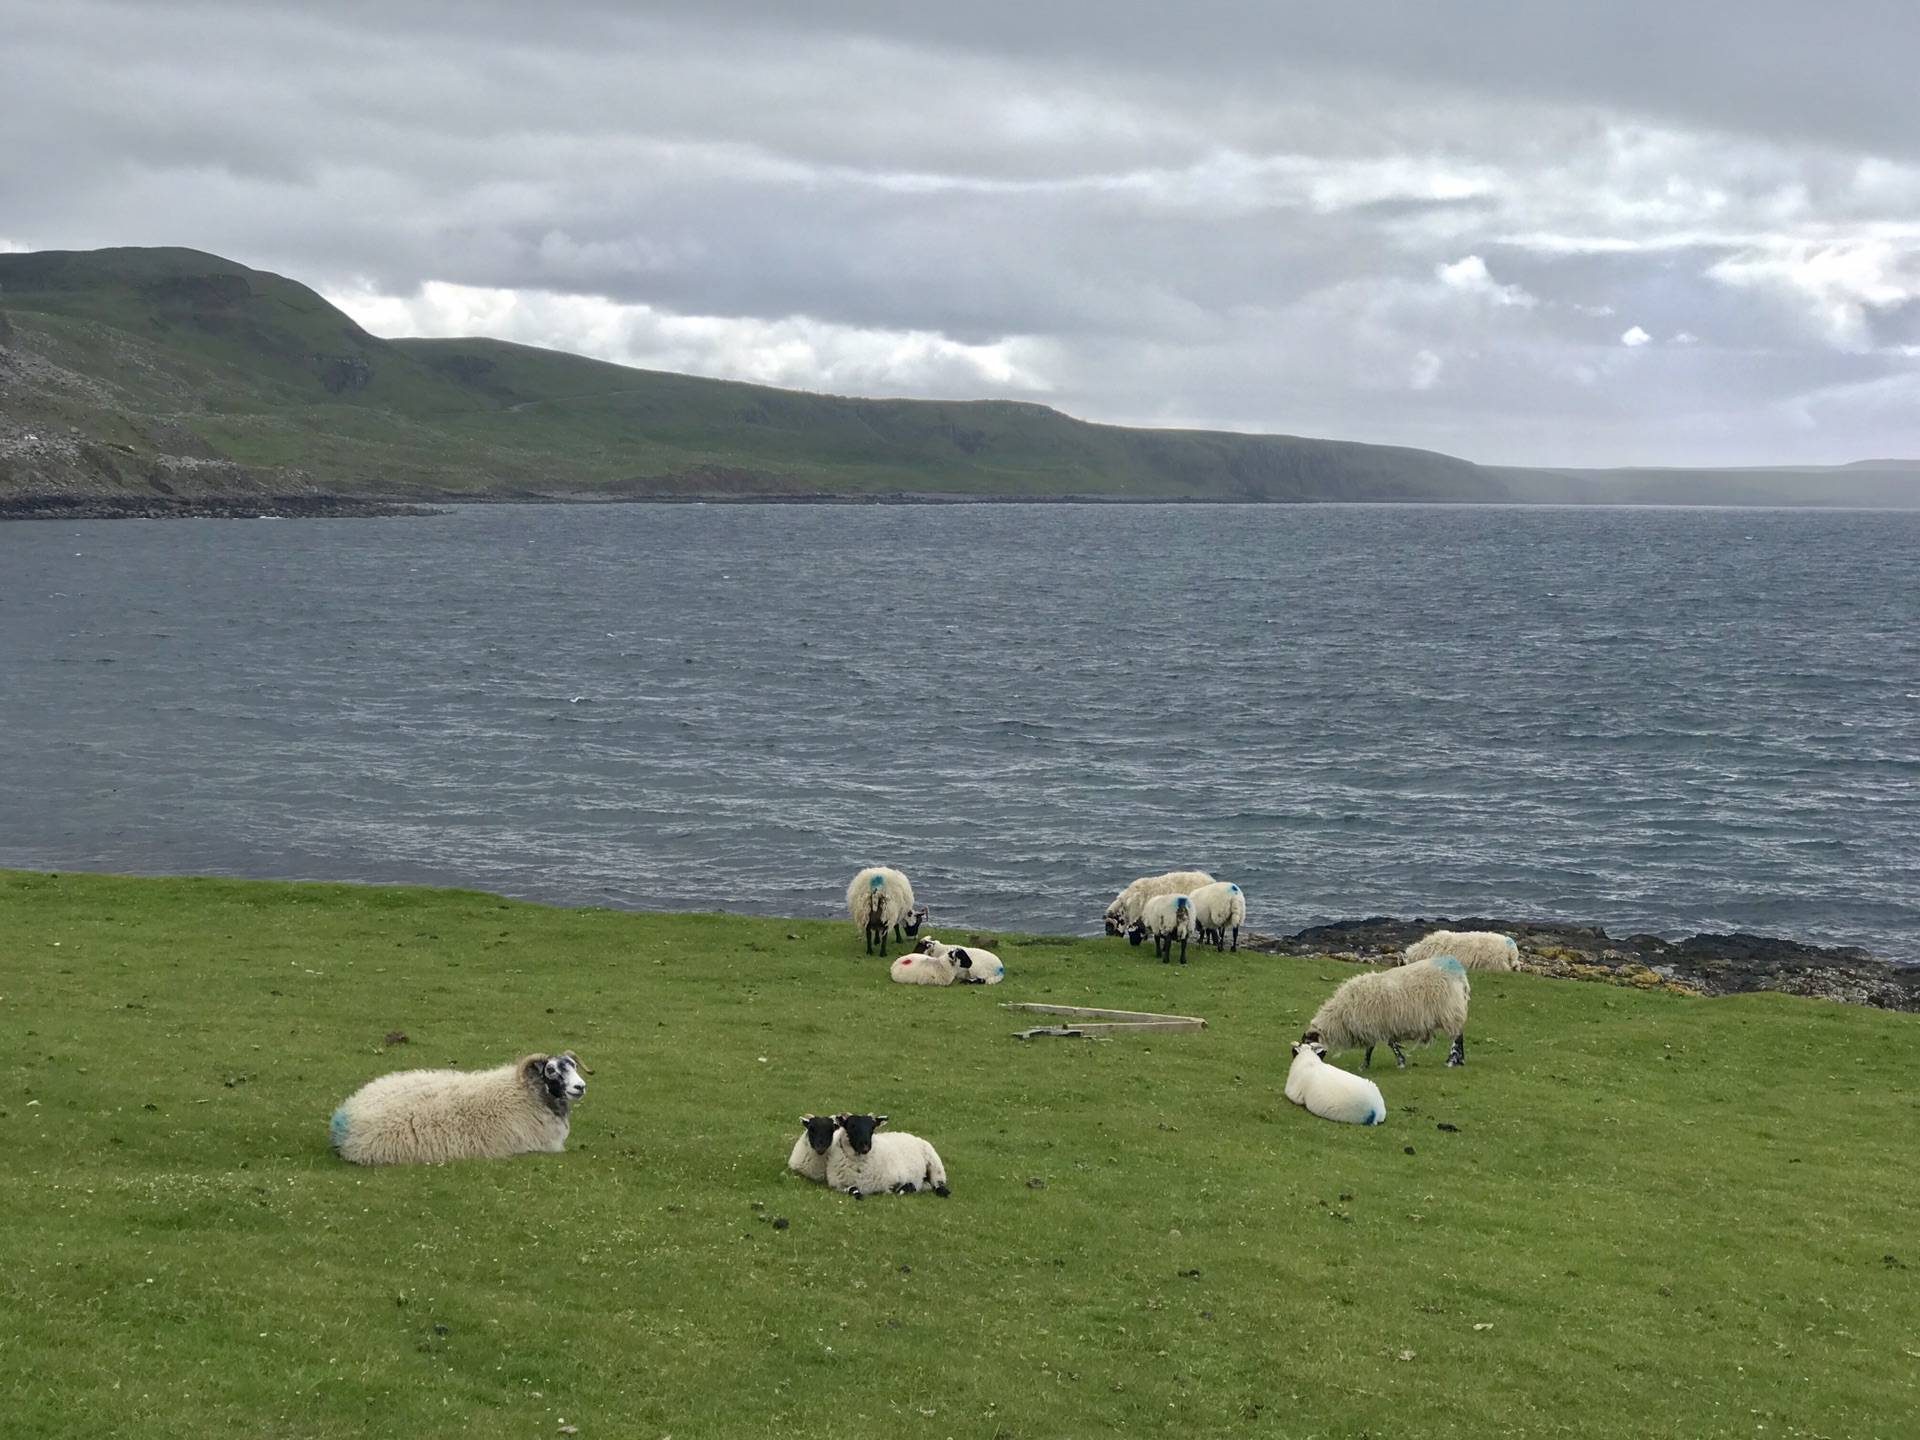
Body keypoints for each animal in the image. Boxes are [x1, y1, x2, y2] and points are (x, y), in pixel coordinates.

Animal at [1305, 960, 1466, 1075]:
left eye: (1310, 1045)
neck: (1340, 1015)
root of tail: (1460, 974)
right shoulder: (1372, 1026)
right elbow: (1372, 1047)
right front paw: (1365, 1065)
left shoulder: (1377, 1025)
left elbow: (1389, 1044)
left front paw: (1400, 1062)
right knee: (1460, 1035)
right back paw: (1461, 1060)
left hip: (1449, 1011)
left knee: (1457, 1036)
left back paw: (1451, 1060)